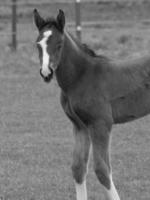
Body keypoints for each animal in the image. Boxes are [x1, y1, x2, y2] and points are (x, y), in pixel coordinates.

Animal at [33, 8, 150, 199]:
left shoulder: (101, 124)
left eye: (59, 44)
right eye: (38, 44)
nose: (46, 73)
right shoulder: (80, 125)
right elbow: (78, 168)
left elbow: (102, 170)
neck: (82, 77)